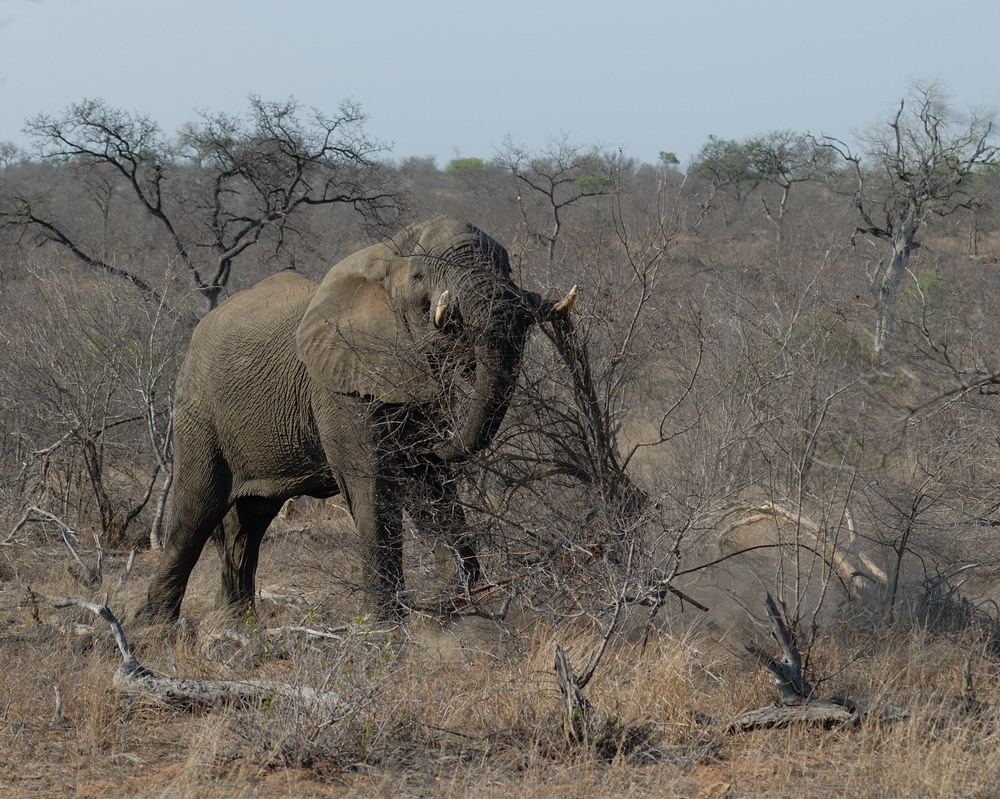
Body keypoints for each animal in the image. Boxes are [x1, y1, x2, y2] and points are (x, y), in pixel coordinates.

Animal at [141, 217, 580, 624]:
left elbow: (432, 487)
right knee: (196, 512)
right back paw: (155, 630)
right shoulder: (338, 387)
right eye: (420, 276)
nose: (443, 442)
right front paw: (383, 628)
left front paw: (461, 602)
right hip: (198, 411)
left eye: (508, 269)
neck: (380, 261)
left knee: (248, 522)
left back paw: (239, 626)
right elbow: (372, 486)